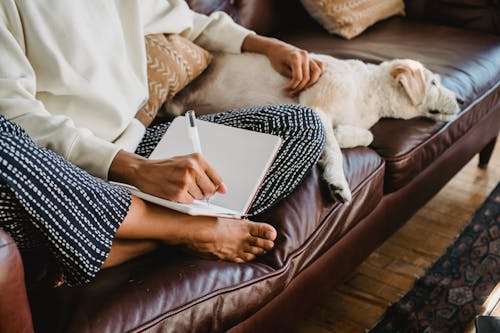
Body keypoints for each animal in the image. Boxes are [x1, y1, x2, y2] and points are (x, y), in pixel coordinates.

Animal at [168, 53, 460, 201]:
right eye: (433, 83)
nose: (461, 99)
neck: (370, 91)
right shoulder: (318, 109)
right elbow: (335, 153)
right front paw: (338, 182)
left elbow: (365, 135)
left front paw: (343, 135)